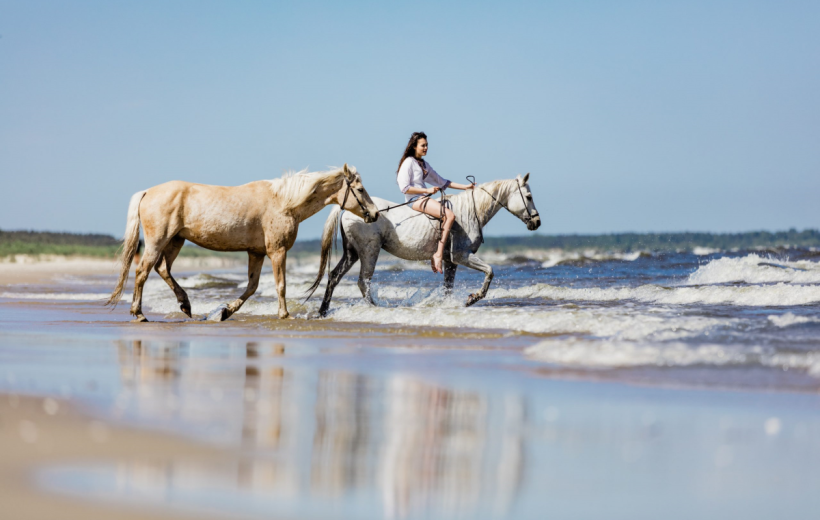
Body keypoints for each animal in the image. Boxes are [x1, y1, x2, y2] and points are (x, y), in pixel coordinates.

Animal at [105, 166, 382, 320]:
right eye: (360, 189)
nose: (375, 213)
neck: (284, 203)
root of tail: (148, 192)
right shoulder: (277, 251)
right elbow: (280, 285)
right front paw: (284, 314)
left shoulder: (256, 253)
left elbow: (251, 287)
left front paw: (226, 311)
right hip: (158, 241)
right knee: (143, 272)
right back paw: (139, 313)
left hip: (176, 241)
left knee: (163, 269)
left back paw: (185, 305)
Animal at [304, 175, 540, 314]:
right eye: (528, 196)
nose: (536, 222)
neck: (469, 212)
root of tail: (347, 210)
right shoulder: (461, 256)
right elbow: (490, 271)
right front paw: (473, 298)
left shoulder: (450, 262)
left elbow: (448, 287)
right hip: (369, 252)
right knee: (363, 282)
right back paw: (376, 309)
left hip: (352, 253)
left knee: (334, 276)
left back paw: (323, 311)